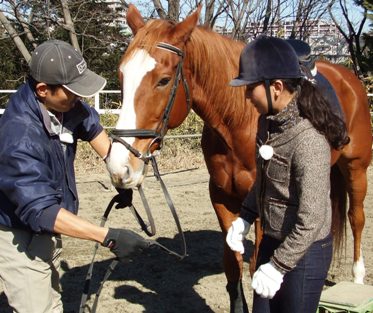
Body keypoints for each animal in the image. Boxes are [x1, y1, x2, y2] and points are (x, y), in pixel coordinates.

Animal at [104, 4, 370, 312]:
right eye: (122, 77)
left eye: (164, 80)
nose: (119, 166)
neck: (240, 121)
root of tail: (347, 77)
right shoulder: (222, 197)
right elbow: (233, 261)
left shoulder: (263, 206)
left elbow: (257, 266)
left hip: (356, 168)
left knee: (356, 218)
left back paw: (358, 278)